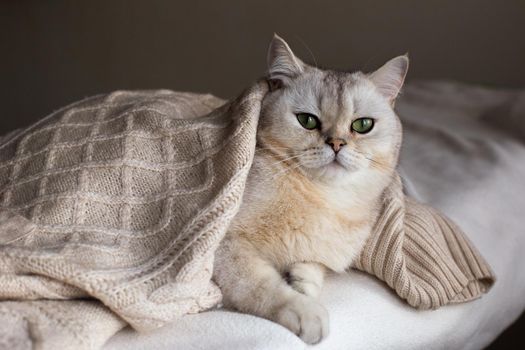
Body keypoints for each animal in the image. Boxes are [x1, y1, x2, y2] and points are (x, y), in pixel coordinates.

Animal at [211, 35, 408, 344]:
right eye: (307, 121)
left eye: (362, 125)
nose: (336, 144)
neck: (323, 199)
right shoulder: (225, 243)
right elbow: (259, 285)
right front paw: (302, 311)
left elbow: (312, 266)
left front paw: (302, 284)